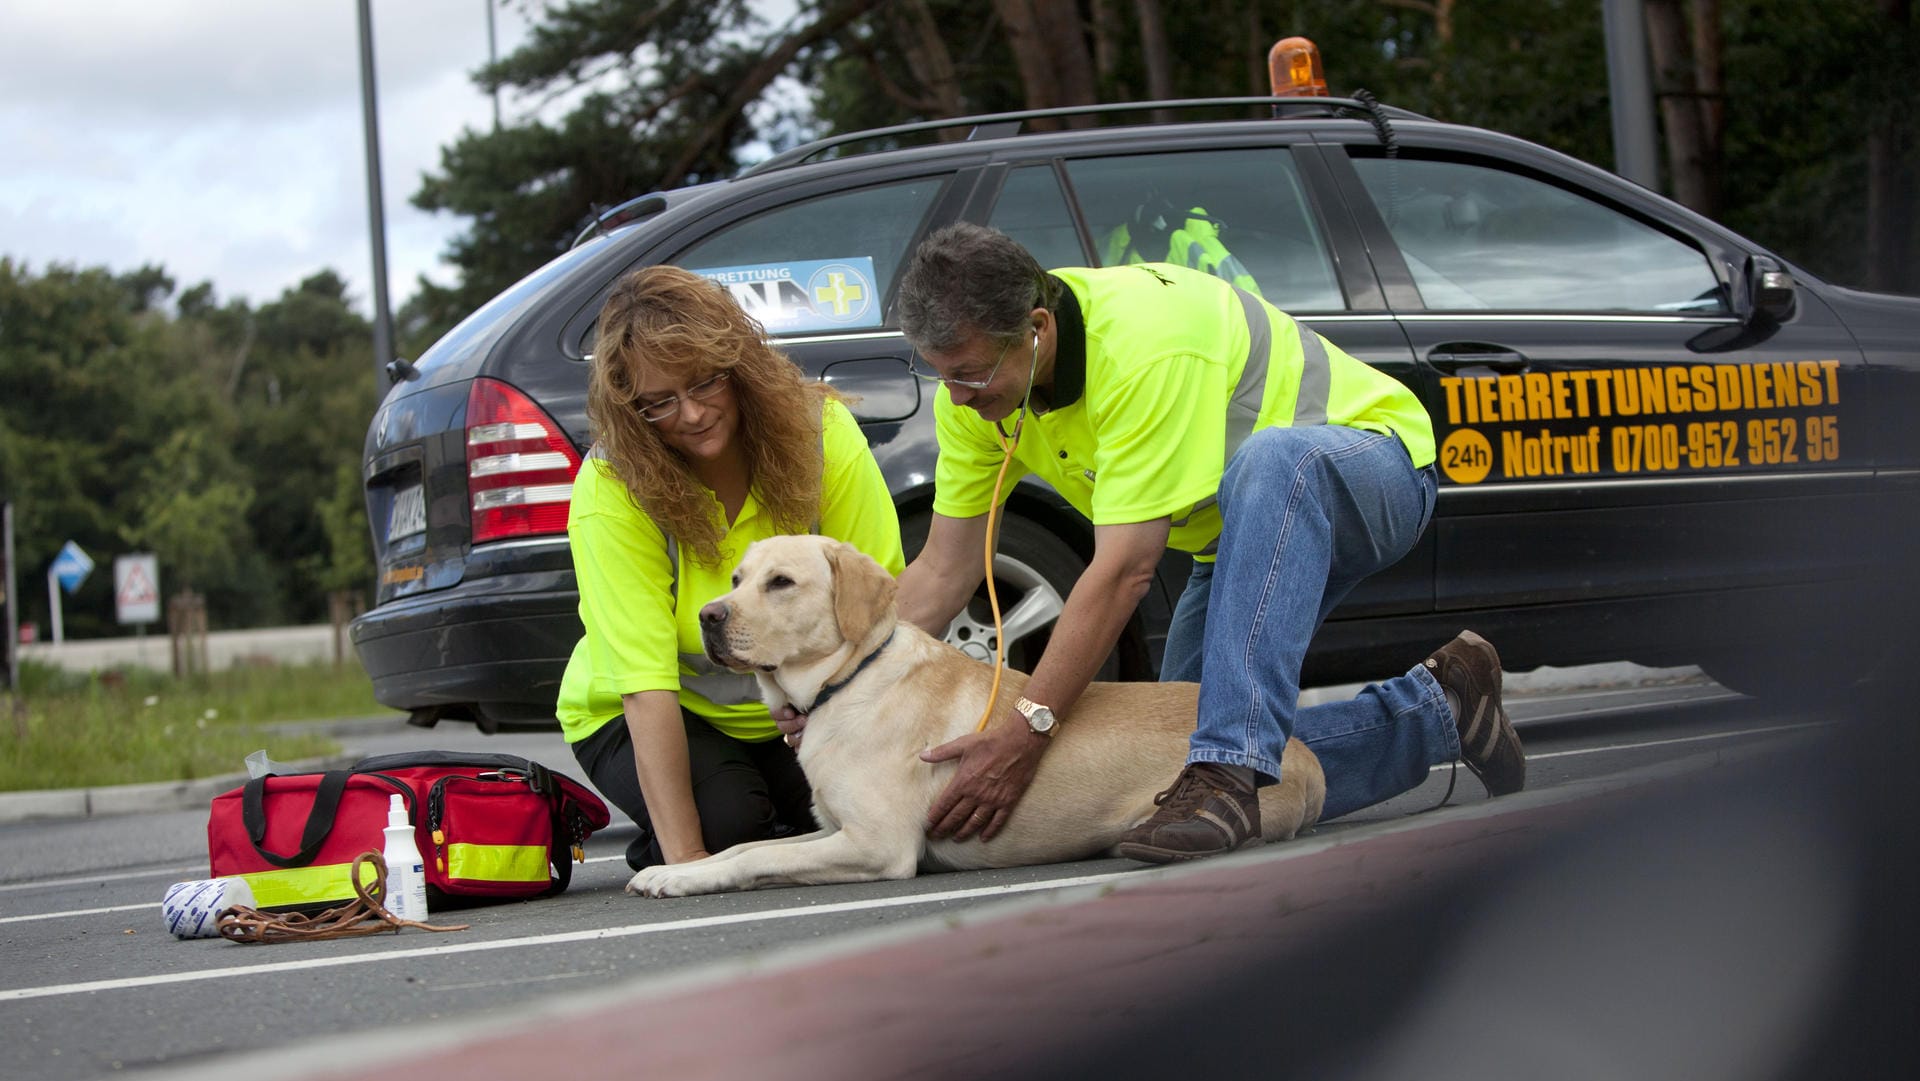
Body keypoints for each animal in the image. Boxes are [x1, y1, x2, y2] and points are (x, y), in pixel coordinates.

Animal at [629, 533, 1320, 898]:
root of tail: (1304, 752)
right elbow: (745, 844)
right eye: (736, 578)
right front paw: (673, 868)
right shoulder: (833, 829)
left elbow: (754, 858)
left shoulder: (879, 846)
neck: (846, 681)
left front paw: (680, 881)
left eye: (780, 583)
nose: (708, 617)